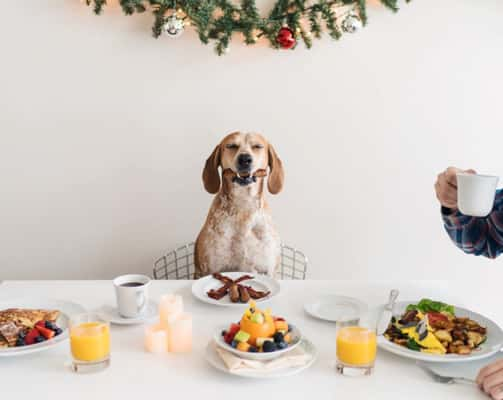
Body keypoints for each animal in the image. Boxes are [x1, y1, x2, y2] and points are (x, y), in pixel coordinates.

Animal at [195, 131, 286, 278]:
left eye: (257, 146)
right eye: (231, 145)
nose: (244, 159)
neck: (244, 205)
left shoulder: (269, 270)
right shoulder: (209, 269)